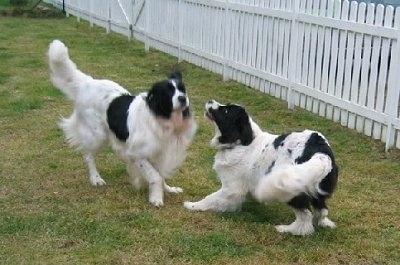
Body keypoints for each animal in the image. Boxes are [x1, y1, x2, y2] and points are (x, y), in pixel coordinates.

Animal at [48, 40, 197, 205]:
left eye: (182, 89)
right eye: (167, 92)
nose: (183, 98)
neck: (159, 116)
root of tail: (87, 83)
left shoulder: (159, 153)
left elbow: (160, 174)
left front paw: (168, 189)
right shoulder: (137, 154)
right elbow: (156, 176)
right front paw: (156, 198)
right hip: (97, 135)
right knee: (88, 156)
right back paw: (95, 179)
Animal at [184, 99, 338, 235]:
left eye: (226, 110)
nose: (210, 100)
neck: (240, 142)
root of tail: (321, 152)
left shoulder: (231, 188)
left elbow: (211, 198)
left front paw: (192, 205)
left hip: (291, 189)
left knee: (306, 216)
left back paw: (288, 229)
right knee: (322, 210)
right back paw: (323, 223)